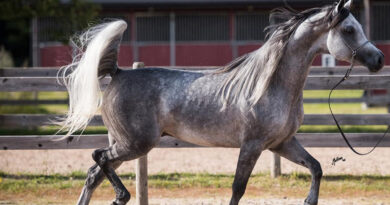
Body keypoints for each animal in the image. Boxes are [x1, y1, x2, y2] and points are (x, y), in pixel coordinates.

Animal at [58, 0, 384, 204]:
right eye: (349, 30)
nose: (379, 59)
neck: (270, 85)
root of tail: (118, 73)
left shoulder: (282, 143)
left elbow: (316, 167)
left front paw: (309, 200)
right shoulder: (252, 145)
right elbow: (238, 189)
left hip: (125, 143)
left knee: (93, 175)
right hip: (135, 144)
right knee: (98, 158)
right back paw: (121, 196)